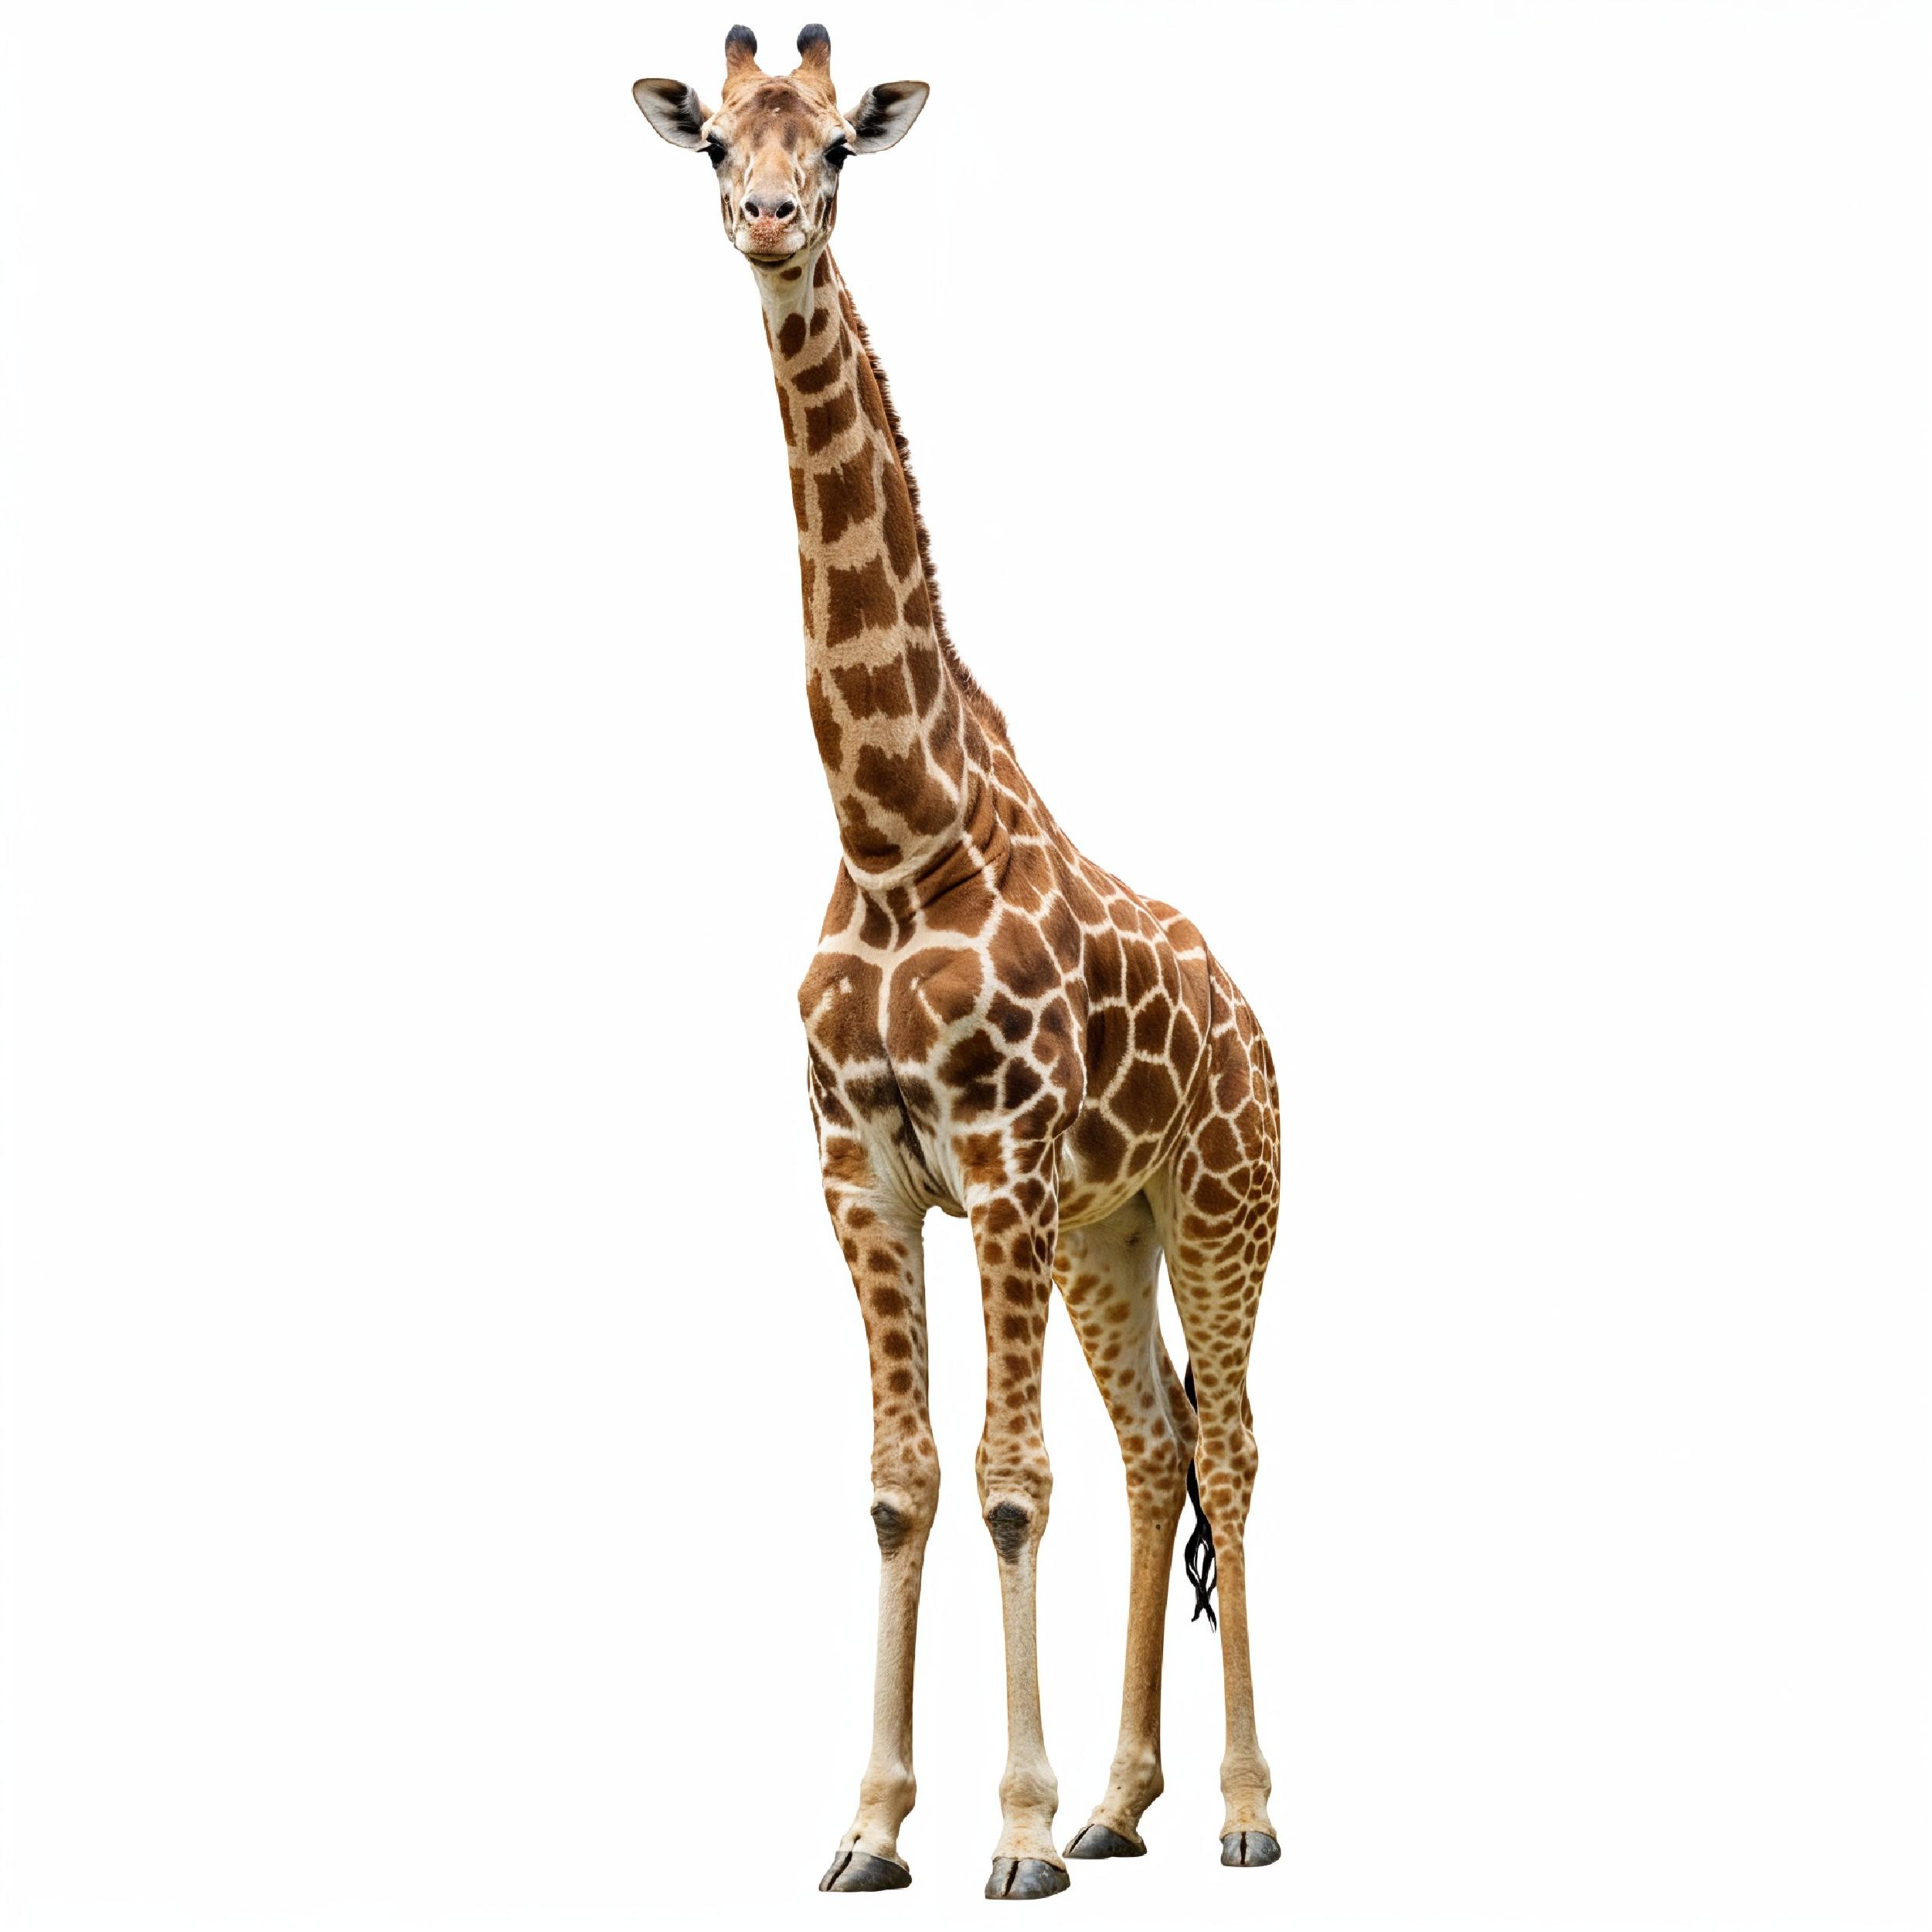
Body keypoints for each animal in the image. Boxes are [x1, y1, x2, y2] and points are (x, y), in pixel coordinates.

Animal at [634, 24, 1283, 1900]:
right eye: (719, 142)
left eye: (841, 147)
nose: (770, 225)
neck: (886, 827)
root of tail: (1255, 1021)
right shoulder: (860, 1166)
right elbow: (900, 1481)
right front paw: (870, 1824)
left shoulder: (995, 1164)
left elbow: (1004, 1478)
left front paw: (1010, 1831)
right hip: (1109, 1235)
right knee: (1155, 1449)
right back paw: (1127, 1799)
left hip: (1223, 1209)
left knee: (1228, 1448)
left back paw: (1239, 1809)